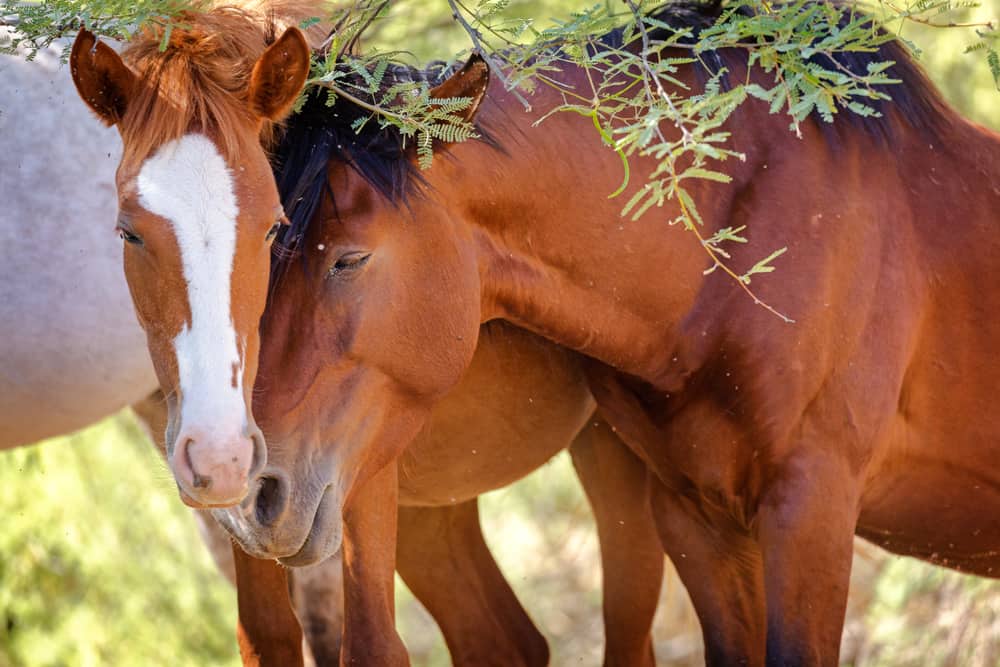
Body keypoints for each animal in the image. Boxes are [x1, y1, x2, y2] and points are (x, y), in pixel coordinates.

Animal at [65, 5, 666, 664]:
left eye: (271, 226)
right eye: (128, 232)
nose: (221, 457)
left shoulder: (361, 463)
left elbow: (372, 643)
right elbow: (267, 635)